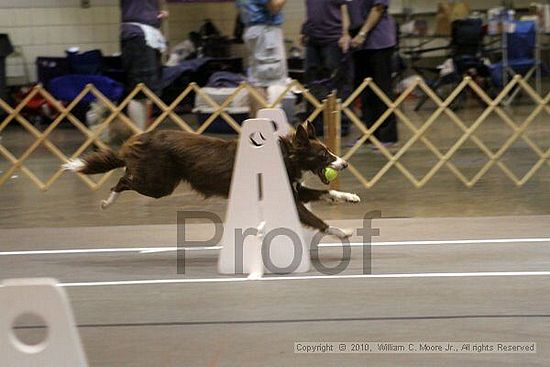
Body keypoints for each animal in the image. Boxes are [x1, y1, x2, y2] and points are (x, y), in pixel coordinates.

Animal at [63, 122, 362, 240]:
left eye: (329, 151)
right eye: (323, 154)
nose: (345, 163)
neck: (284, 155)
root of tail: (142, 138)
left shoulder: (293, 190)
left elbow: (325, 194)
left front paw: (349, 197)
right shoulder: (288, 198)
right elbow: (318, 220)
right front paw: (343, 232)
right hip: (159, 184)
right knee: (124, 180)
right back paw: (106, 202)